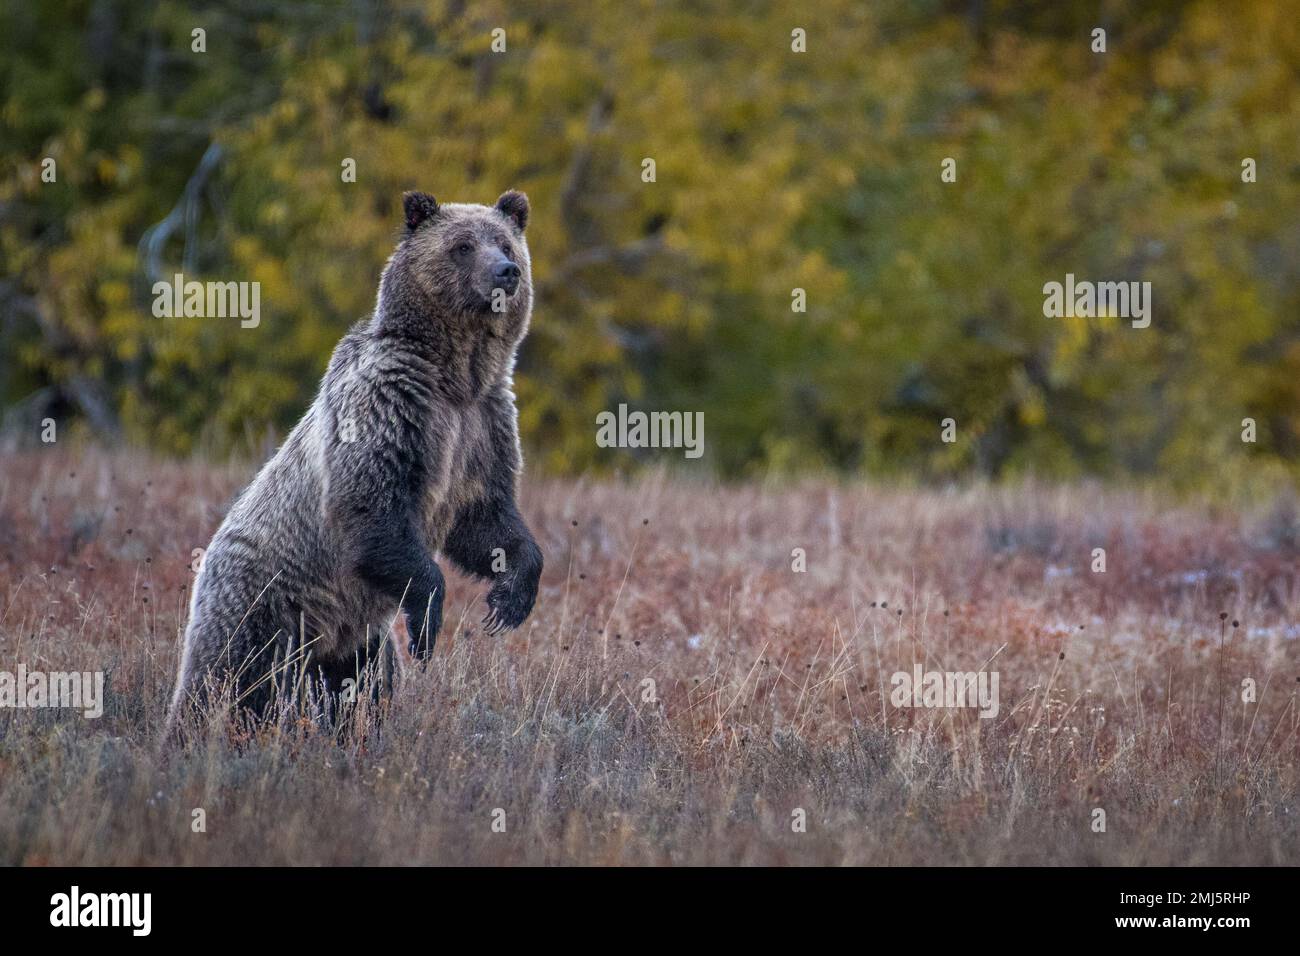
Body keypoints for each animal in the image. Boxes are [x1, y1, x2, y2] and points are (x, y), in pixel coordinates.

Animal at [167, 188, 543, 733]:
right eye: (463, 245)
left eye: (506, 242)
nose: (505, 271)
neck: (455, 376)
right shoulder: (388, 407)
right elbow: (369, 504)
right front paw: (427, 625)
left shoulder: (482, 427)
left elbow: (484, 518)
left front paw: (510, 598)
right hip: (265, 604)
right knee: (233, 679)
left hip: (358, 639)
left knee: (367, 684)